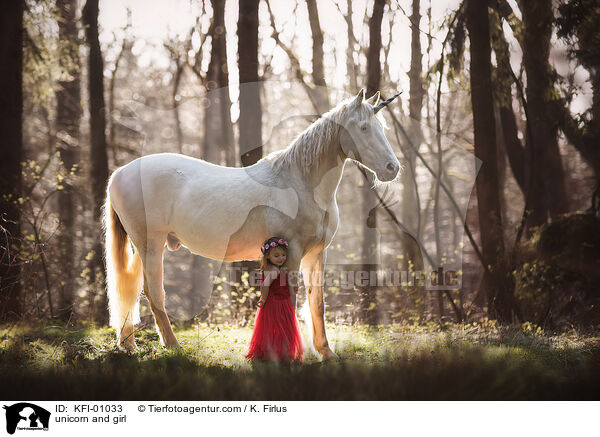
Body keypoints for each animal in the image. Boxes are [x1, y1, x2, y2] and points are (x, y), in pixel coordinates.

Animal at [103, 87, 400, 358]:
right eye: (363, 127)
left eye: (382, 128)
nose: (392, 168)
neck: (299, 182)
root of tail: (120, 173)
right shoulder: (291, 252)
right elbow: (291, 299)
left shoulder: (316, 254)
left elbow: (317, 303)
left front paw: (325, 353)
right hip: (152, 246)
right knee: (154, 294)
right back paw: (173, 345)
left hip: (143, 248)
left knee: (131, 290)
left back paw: (128, 345)